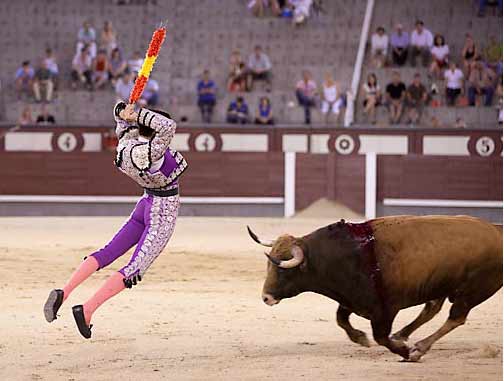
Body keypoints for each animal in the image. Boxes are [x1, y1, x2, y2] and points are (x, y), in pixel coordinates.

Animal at [247, 214, 500, 360]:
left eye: (282, 270)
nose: (266, 297)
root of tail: (497, 231)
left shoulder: (385, 310)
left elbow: (380, 337)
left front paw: (404, 351)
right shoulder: (351, 300)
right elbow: (341, 319)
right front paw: (360, 338)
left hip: (473, 291)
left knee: (455, 318)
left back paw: (418, 348)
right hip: (439, 285)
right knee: (432, 309)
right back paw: (404, 334)